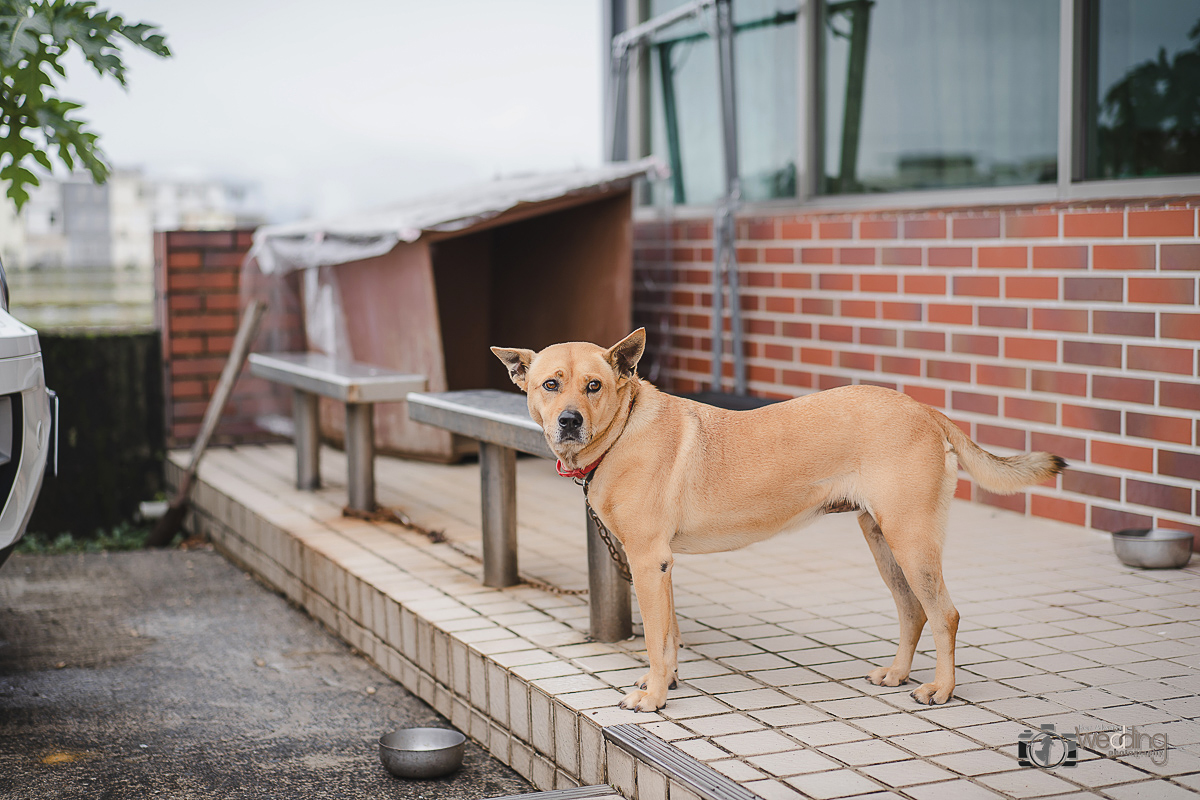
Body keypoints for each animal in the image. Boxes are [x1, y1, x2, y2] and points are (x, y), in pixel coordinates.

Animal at [492, 328, 1065, 710]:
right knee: (913, 612)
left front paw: (653, 698)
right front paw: (666, 683)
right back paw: (899, 674)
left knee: (944, 614)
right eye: (550, 385)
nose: (569, 421)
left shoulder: (648, 560)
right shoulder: (662, 566)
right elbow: (670, 634)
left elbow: (655, 639)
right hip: (884, 541)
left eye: (593, 386)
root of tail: (923, 409)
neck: (624, 430)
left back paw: (941, 689)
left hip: (912, 541)